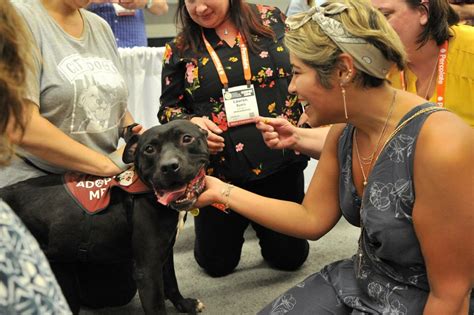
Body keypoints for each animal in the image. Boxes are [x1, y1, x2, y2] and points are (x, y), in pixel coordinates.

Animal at [0, 119, 209, 314]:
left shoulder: (164, 250)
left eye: (187, 139)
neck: (146, 190)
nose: (169, 167)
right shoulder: (147, 269)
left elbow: (171, 281)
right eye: (149, 149)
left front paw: (185, 304)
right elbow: (157, 305)